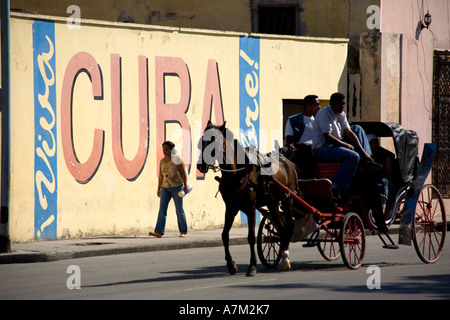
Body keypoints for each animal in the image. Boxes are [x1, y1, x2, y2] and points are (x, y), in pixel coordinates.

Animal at [197, 121, 298, 276]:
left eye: (215, 141)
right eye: (202, 141)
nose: (200, 165)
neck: (235, 173)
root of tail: (288, 162)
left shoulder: (250, 208)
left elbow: (251, 237)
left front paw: (252, 266)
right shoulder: (230, 208)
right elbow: (224, 235)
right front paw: (231, 264)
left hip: (287, 200)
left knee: (289, 226)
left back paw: (285, 260)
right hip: (272, 203)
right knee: (282, 228)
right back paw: (283, 259)